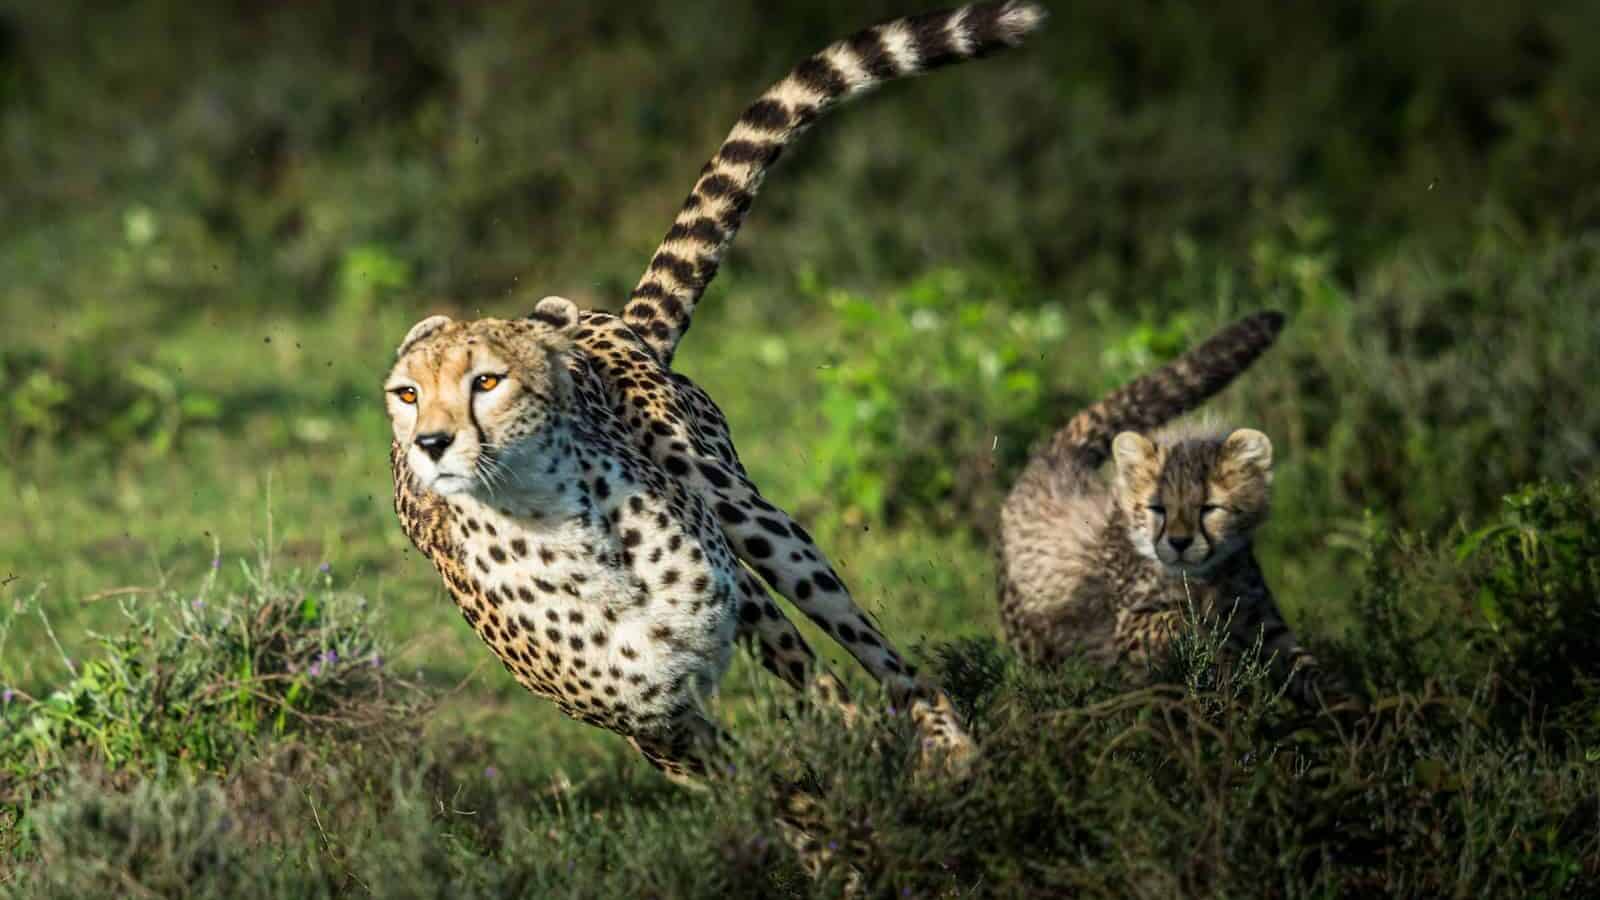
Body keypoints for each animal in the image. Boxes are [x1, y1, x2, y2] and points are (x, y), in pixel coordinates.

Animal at [384, 1, 1047, 877]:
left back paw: (947, 747)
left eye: (486, 382)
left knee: (877, 655)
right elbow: (780, 792)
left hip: (753, 520)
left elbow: (827, 714)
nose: (429, 443)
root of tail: (600, 318)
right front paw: (841, 857)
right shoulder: (657, 728)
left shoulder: (742, 609)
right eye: (407, 394)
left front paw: (879, 796)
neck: (558, 532)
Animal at [998, 311, 1347, 709]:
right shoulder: (1127, 627)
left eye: (1209, 508)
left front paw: (1342, 701)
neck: (1204, 579)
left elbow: (1304, 664)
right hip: (1032, 643)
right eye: (1157, 508)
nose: (1179, 543)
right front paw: (1219, 655)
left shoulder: (1260, 619)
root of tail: (1056, 459)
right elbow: (1179, 623)